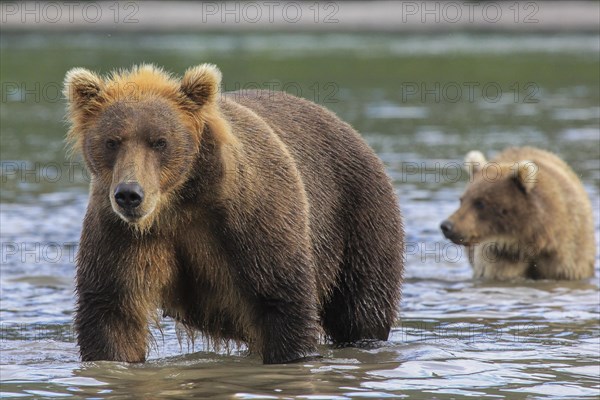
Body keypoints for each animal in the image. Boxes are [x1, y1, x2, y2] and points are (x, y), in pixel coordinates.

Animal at [64, 64, 404, 364]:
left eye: (160, 141)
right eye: (112, 141)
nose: (130, 194)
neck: (177, 202)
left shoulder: (250, 217)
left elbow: (282, 299)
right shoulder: (120, 233)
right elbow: (113, 313)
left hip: (358, 215)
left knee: (361, 306)